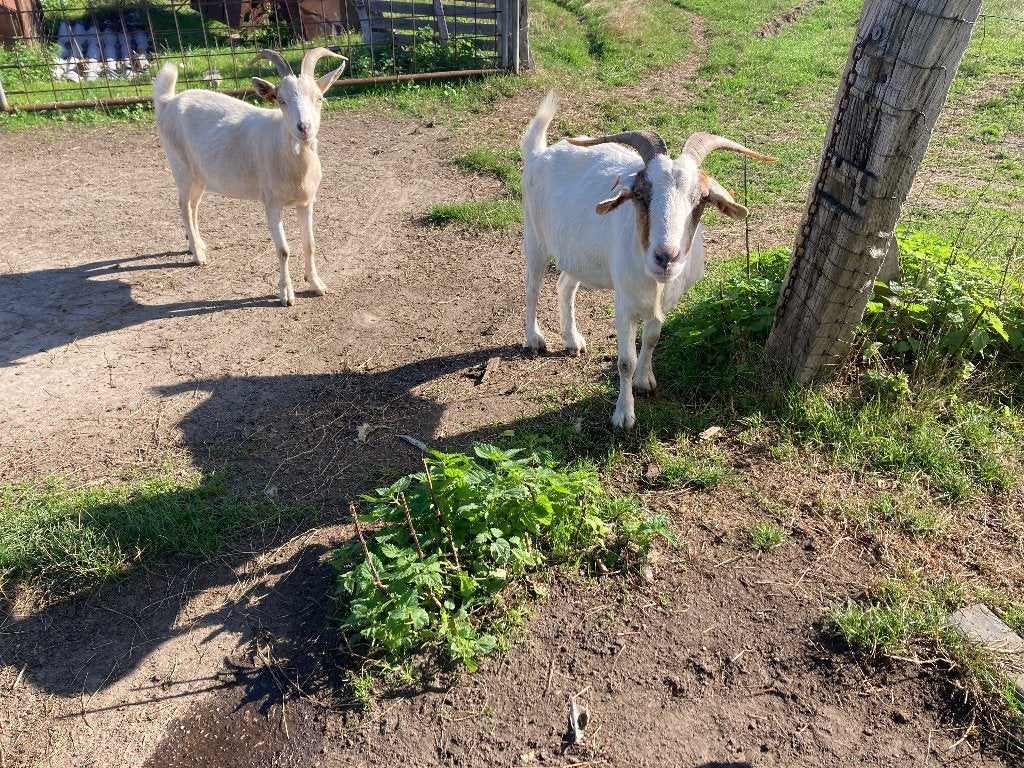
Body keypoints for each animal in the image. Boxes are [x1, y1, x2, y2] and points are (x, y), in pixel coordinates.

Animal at [153, 48, 347, 305]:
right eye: (281, 100)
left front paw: (316, 285)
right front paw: (286, 294)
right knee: (183, 206)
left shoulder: (306, 202)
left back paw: (199, 245)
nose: (304, 128)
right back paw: (198, 256)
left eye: (319, 98)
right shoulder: (271, 202)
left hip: (200, 175)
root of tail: (167, 102)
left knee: (193, 206)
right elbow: (283, 250)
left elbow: (310, 244)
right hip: (180, 167)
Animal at [521, 92, 775, 428]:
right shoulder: (624, 303)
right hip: (535, 238)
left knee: (565, 285)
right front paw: (623, 415)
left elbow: (653, 338)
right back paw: (535, 339)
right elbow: (625, 361)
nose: (666, 256)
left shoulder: (665, 301)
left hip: (578, 253)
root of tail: (541, 154)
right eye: (640, 195)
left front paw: (645, 382)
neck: (654, 281)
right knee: (532, 286)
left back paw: (573, 339)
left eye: (701, 199)